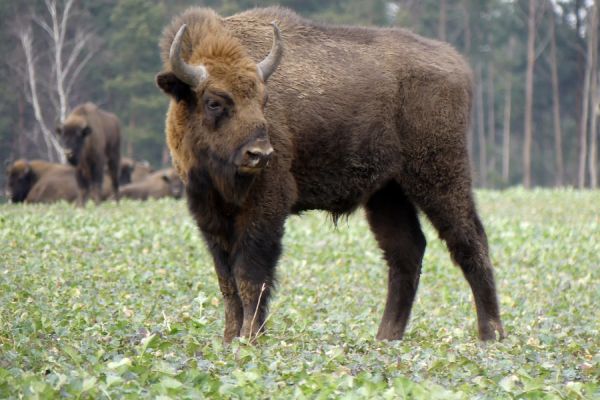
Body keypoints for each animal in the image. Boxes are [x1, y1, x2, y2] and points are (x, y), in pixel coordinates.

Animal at [157, 6, 504, 344]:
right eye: (214, 102)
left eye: (263, 99)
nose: (260, 154)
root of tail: (457, 64)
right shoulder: (210, 215)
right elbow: (226, 281)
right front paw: (230, 340)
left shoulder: (266, 208)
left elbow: (249, 277)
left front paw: (249, 339)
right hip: (388, 193)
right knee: (407, 251)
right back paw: (385, 338)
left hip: (440, 177)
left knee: (470, 241)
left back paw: (491, 335)